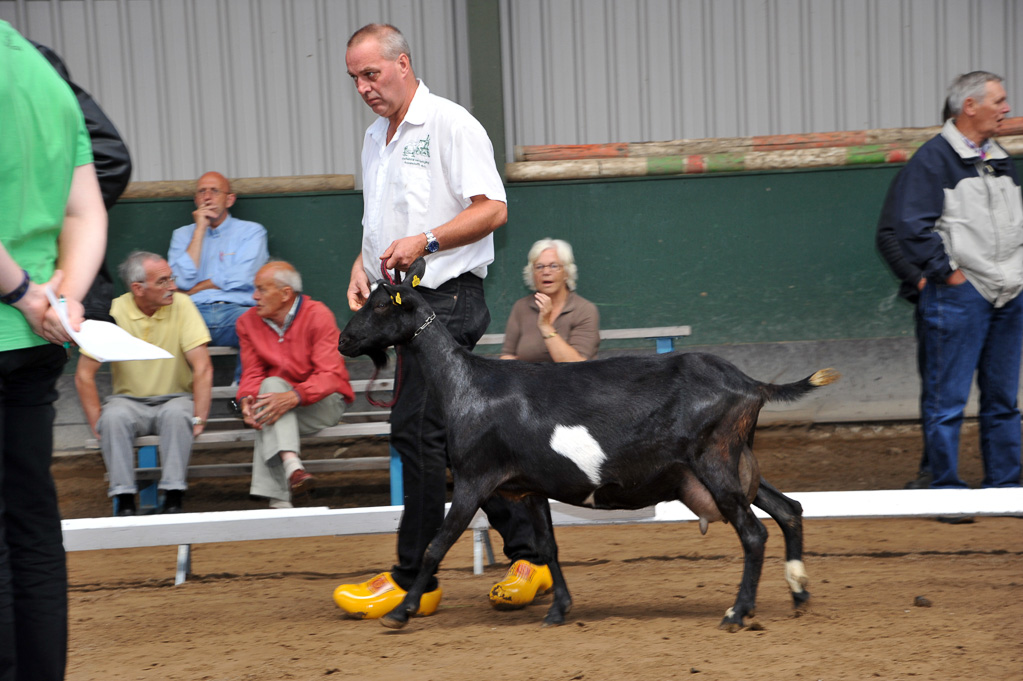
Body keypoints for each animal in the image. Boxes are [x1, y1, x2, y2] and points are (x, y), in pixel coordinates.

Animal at [339, 257, 834, 629]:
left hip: (714, 461)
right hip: (735, 462)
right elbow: (548, 547)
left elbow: (435, 545)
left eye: (380, 304)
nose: (344, 340)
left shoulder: (473, 480)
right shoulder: (531, 486)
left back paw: (737, 612)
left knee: (754, 532)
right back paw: (798, 591)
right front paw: (558, 609)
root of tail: (751, 384)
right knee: (789, 509)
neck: (470, 385)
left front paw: (402, 611)